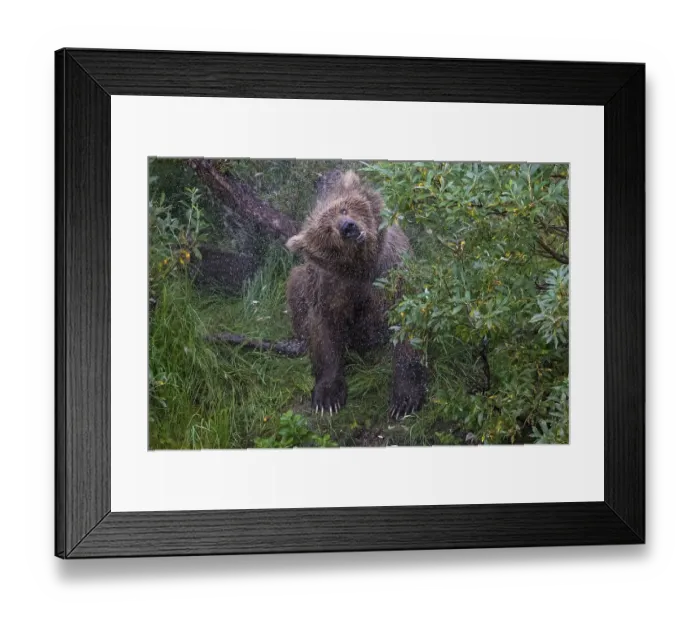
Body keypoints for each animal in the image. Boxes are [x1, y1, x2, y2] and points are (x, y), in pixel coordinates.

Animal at [285, 169, 427, 419]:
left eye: (344, 208)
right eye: (326, 229)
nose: (348, 227)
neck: (362, 265)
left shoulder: (391, 269)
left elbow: (406, 322)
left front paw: (404, 399)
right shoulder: (333, 287)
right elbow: (325, 330)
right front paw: (327, 397)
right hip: (301, 282)